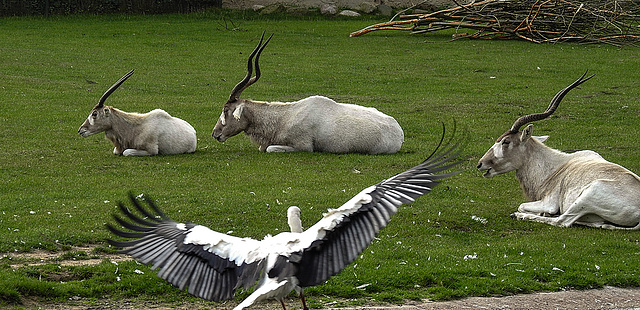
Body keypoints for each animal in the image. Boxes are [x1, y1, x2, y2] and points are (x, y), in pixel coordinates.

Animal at [212, 33, 402, 154]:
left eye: (226, 110)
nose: (215, 134)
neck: (284, 117)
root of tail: (399, 131)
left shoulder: (303, 147)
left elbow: (269, 148)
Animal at [476, 71, 640, 229]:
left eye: (506, 141)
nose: (480, 164)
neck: (553, 168)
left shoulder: (549, 203)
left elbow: (522, 205)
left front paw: (533, 213)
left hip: (588, 195)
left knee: (562, 221)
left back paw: (522, 216)